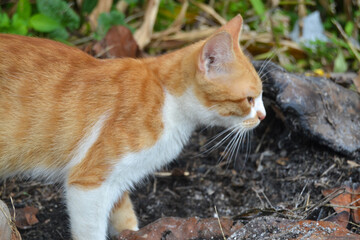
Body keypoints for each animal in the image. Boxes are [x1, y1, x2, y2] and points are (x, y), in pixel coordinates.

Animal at [0, 14, 264, 238]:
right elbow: (91, 230)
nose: (263, 115)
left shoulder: (116, 179)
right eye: (249, 99)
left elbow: (123, 213)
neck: (167, 98)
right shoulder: (88, 183)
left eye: (260, 96)